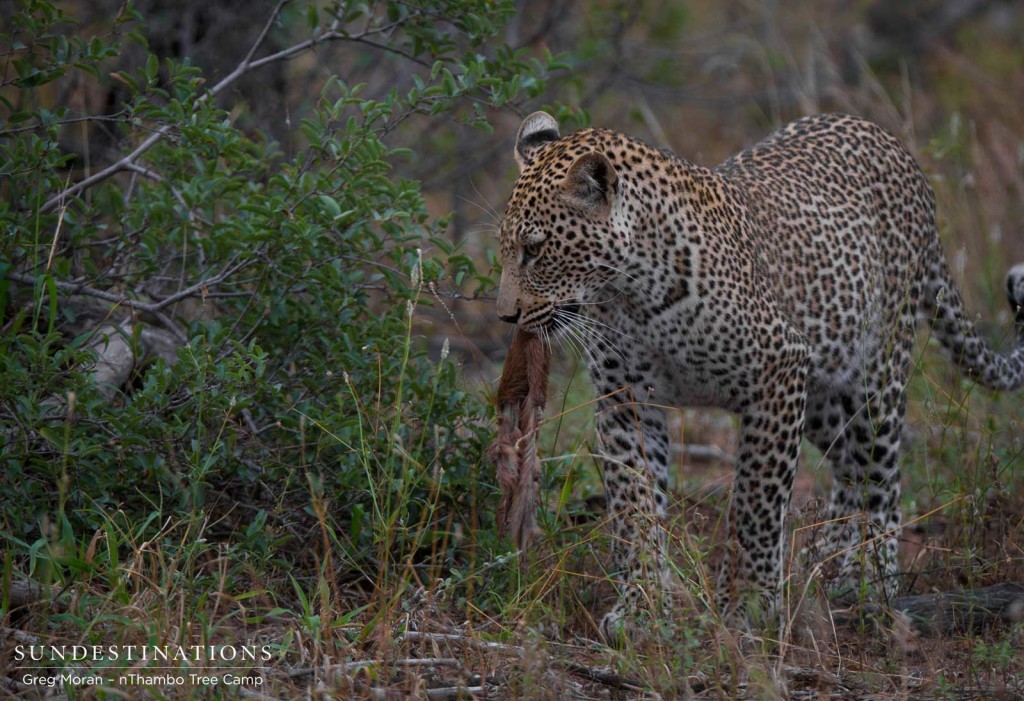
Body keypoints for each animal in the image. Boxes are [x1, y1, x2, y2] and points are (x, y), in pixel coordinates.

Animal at [495, 110, 1024, 638]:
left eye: (535, 249)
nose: (505, 316)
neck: (629, 293)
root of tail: (893, 144)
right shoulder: (627, 398)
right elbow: (633, 503)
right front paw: (643, 606)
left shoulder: (778, 368)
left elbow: (757, 501)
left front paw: (750, 605)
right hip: (821, 390)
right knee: (849, 465)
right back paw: (827, 558)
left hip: (877, 370)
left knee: (883, 477)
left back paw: (868, 580)